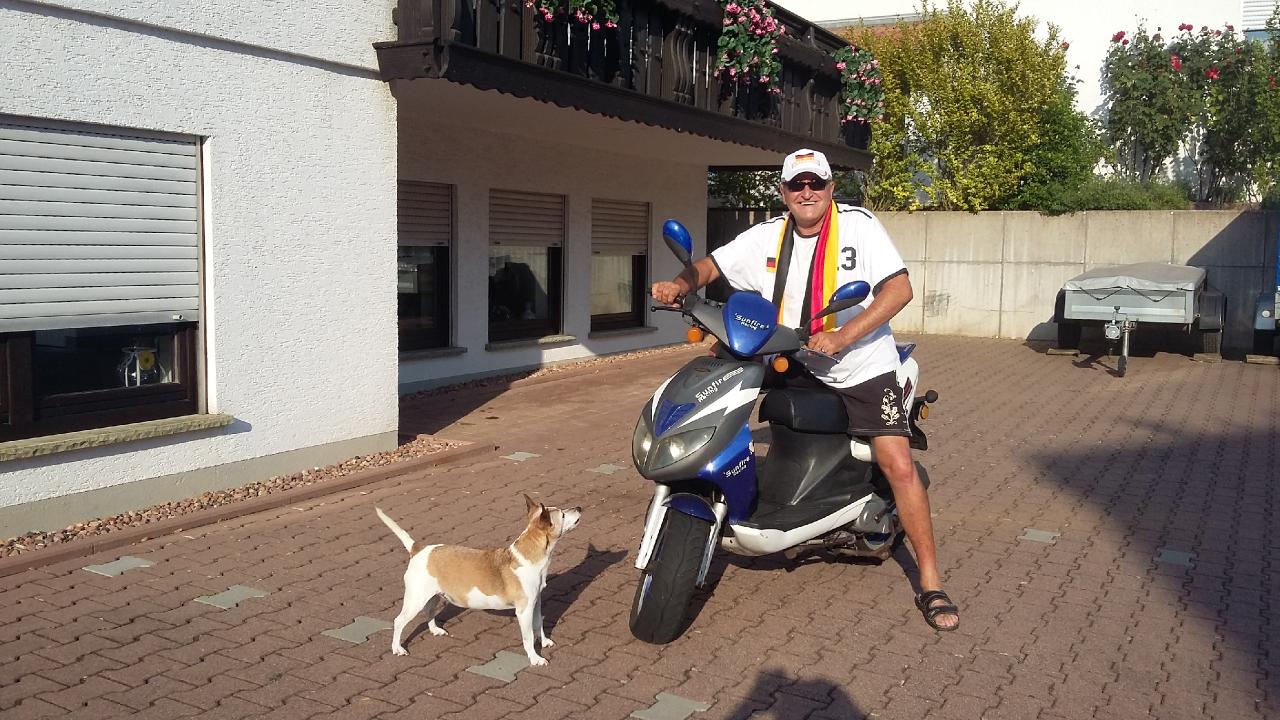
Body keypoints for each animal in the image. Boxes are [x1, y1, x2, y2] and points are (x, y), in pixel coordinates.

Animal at [375, 495, 582, 666]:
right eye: (563, 514)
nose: (579, 507)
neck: (529, 555)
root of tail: (417, 549)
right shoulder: (524, 611)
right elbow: (529, 637)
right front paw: (535, 658)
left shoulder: (536, 602)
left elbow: (539, 624)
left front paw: (545, 642)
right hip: (415, 600)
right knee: (399, 621)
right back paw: (397, 648)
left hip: (432, 596)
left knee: (429, 612)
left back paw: (435, 630)